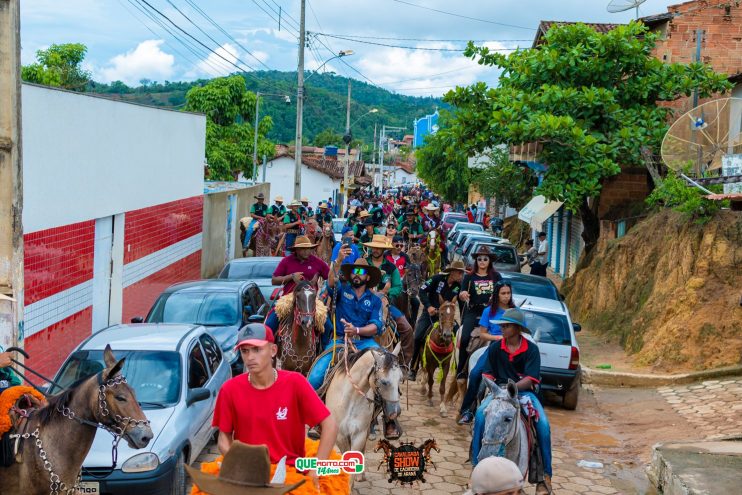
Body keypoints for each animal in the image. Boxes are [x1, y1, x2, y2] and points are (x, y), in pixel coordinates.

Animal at [326, 346, 404, 486]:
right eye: (384, 382)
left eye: (401, 379)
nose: (396, 412)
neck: (350, 398)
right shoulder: (340, 435)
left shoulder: (359, 434)